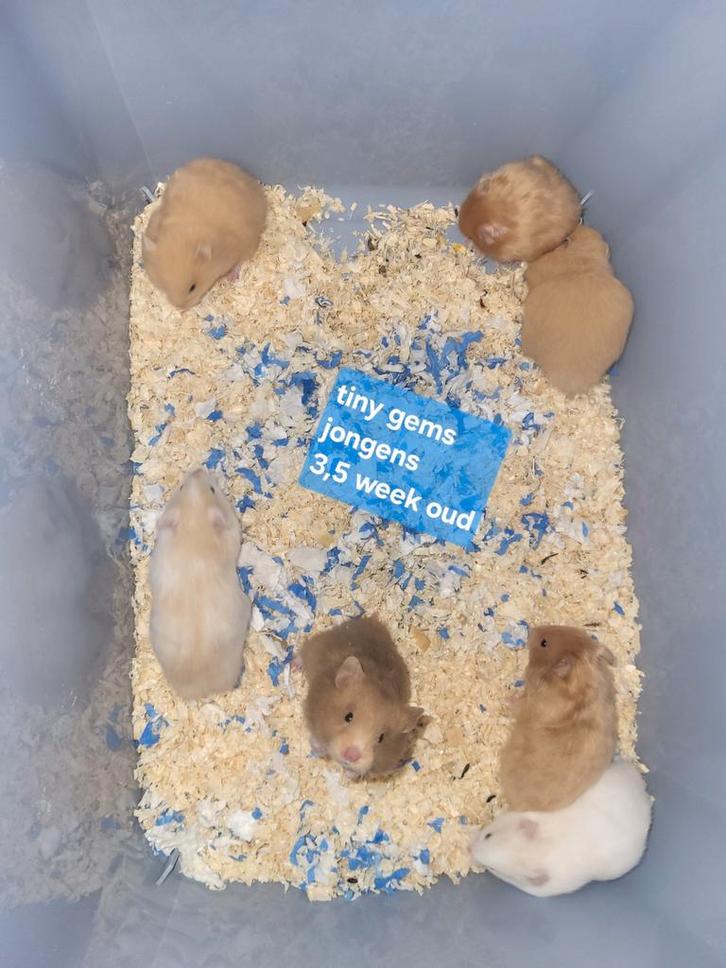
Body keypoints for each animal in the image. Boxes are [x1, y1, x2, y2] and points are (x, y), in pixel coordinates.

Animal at [301, 615, 425, 777]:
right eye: (348, 716)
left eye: (381, 738)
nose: (351, 756)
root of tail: (372, 620)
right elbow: (317, 739)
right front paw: (318, 750)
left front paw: (348, 775)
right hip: (317, 644)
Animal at [499, 624, 617, 812]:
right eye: (576, 630)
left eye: (544, 643)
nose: (532, 629)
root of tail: (520, 806)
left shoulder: (529, 702)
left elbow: (517, 705)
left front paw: (505, 699)